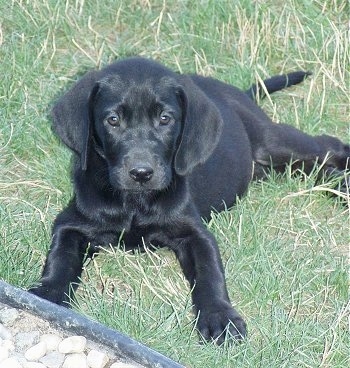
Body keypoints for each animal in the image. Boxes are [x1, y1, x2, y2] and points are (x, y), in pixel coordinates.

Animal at [29, 57, 348, 344]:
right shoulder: (72, 223)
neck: (135, 202)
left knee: (327, 147)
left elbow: (210, 274)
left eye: (165, 119)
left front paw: (220, 317)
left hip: (273, 142)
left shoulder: (195, 233)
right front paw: (47, 293)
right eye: (113, 120)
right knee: (316, 171)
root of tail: (237, 91)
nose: (141, 173)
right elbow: (61, 257)